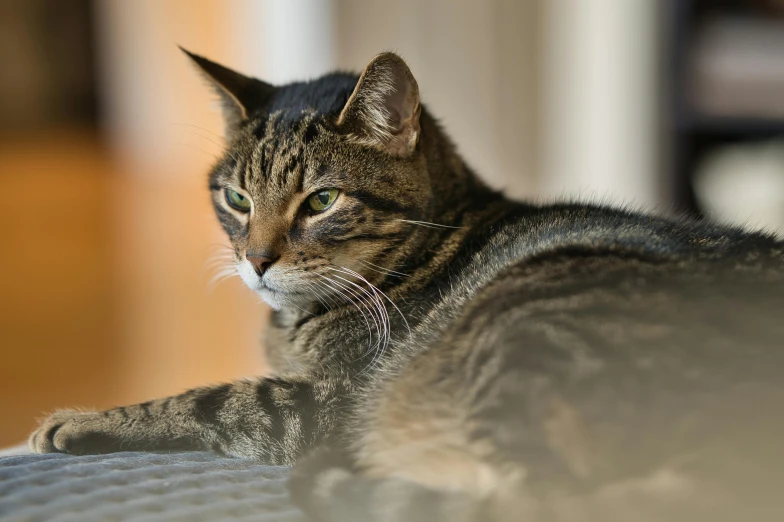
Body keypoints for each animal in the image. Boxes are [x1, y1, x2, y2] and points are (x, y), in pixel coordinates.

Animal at [30, 49, 784, 520]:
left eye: (321, 200)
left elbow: (207, 399)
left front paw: (74, 421)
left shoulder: (326, 402)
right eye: (237, 199)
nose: (256, 260)